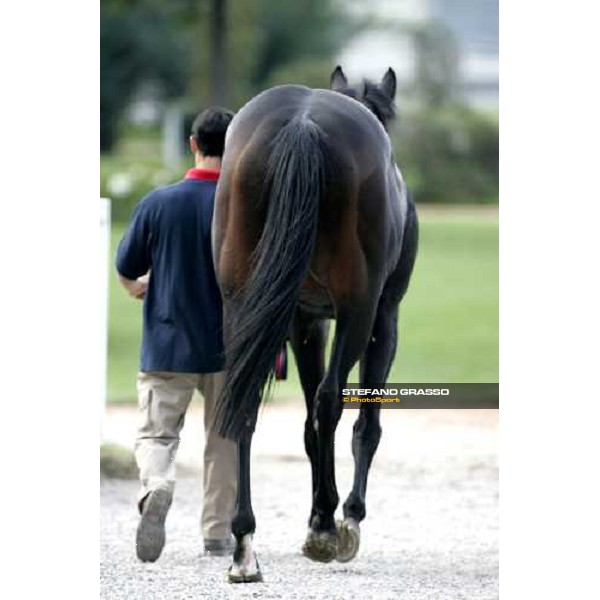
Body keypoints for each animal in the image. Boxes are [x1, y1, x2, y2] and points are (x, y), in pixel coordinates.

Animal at [214, 64, 418, 580]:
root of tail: (302, 123)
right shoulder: (382, 318)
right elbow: (363, 422)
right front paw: (344, 518)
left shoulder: (304, 322)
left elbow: (307, 423)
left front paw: (315, 518)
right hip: (359, 310)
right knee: (331, 403)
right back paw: (327, 527)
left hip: (241, 304)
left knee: (243, 400)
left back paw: (245, 543)